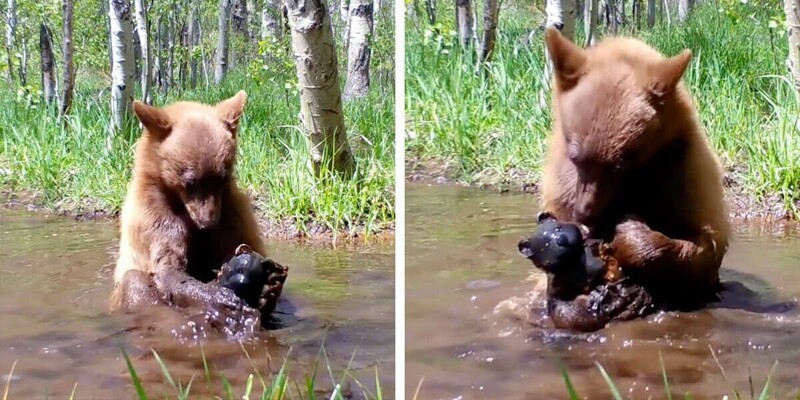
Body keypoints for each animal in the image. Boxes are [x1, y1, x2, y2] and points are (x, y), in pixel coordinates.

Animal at [109, 91, 272, 318]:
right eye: (190, 181)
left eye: (222, 177)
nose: (209, 222)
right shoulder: (154, 216)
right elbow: (167, 265)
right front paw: (218, 296)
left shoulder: (231, 210)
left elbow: (241, 242)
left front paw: (268, 288)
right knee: (134, 281)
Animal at [536, 28, 732, 310]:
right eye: (576, 158)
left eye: (619, 167)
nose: (585, 213)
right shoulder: (562, 185)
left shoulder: (684, 171)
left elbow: (707, 245)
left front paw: (629, 234)